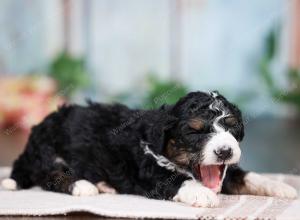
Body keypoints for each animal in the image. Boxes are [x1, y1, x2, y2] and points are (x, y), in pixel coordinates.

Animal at [1, 90, 298, 207]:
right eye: (195, 131)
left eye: (232, 127)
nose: (224, 151)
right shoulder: (148, 172)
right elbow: (175, 180)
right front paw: (202, 194)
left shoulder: (225, 170)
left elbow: (245, 175)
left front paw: (281, 187)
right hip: (49, 153)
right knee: (50, 176)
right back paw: (84, 185)